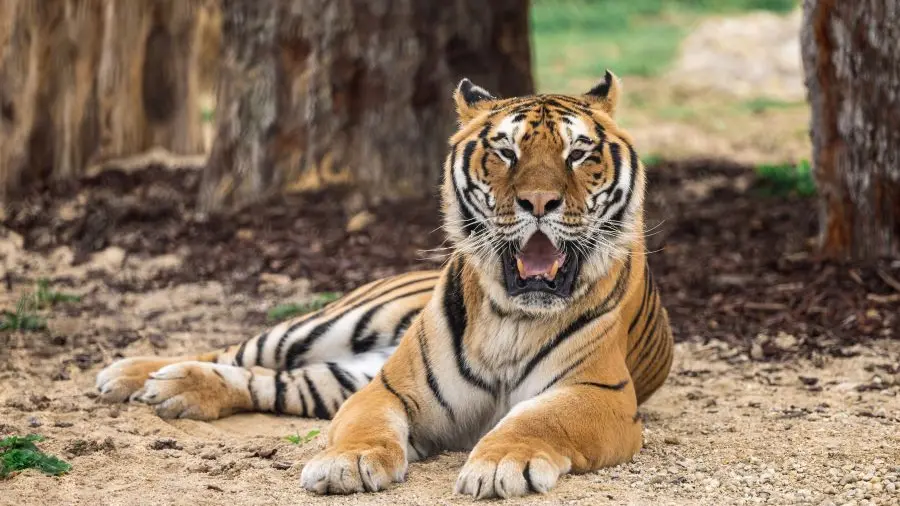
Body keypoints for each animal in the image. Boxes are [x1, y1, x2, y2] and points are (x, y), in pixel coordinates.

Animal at [95, 70, 673, 499]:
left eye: (579, 153)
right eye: (505, 151)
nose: (538, 202)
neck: (512, 317)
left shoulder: (598, 394)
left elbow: (537, 421)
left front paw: (501, 464)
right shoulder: (389, 387)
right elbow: (364, 427)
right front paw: (345, 464)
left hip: (335, 376)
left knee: (269, 380)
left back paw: (174, 388)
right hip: (326, 327)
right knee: (237, 350)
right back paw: (135, 374)